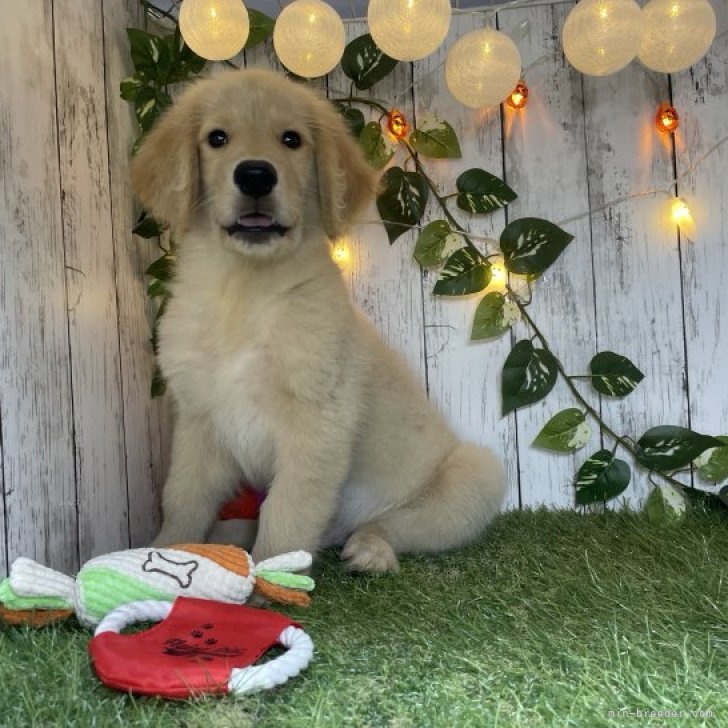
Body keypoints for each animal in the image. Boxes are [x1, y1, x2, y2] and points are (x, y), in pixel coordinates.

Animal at [131, 69, 505, 572]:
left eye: (291, 139)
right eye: (217, 138)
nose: (255, 174)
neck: (243, 290)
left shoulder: (318, 420)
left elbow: (288, 509)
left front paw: (271, 575)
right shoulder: (199, 419)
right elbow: (182, 498)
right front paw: (164, 549)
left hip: (473, 475)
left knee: (399, 524)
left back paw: (370, 550)